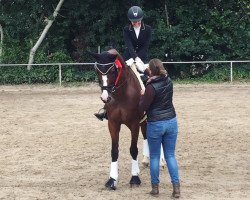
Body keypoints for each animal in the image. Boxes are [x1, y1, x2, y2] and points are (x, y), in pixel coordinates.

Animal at [91, 49, 146, 190]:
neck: (121, 95)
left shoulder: (134, 124)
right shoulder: (113, 124)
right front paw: (112, 180)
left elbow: (133, 150)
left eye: (112, 71)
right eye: (97, 72)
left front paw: (135, 178)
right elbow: (114, 151)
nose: (105, 97)